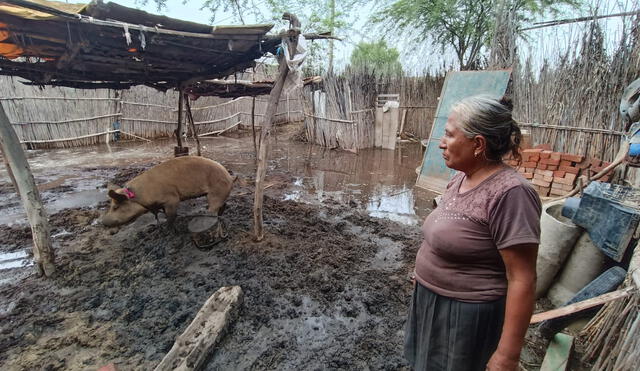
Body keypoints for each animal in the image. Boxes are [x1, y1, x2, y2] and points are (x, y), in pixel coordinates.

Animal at [102, 156, 235, 232]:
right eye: (111, 206)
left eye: (116, 207)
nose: (103, 222)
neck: (140, 196)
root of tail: (229, 177)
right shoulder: (155, 206)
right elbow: (158, 216)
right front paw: (156, 227)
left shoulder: (172, 199)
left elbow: (171, 216)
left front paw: (168, 229)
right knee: (223, 205)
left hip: (216, 192)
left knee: (214, 208)